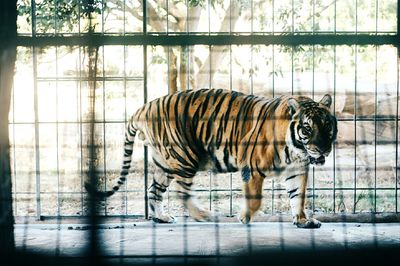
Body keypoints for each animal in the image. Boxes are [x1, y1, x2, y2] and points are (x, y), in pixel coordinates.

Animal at [85, 88, 338, 228]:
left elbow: (298, 197)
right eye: (307, 128)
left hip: (165, 162)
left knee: (154, 190)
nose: (322, 149)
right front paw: (244, 217)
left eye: (327, 126)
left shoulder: (297, 170)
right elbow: (255, 198)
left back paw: (161, 218)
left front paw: (303, 220)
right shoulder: (251, 165)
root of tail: (144, 107)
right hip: (185, 156)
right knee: (182, 192)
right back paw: (205, 215)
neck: (296, 150)